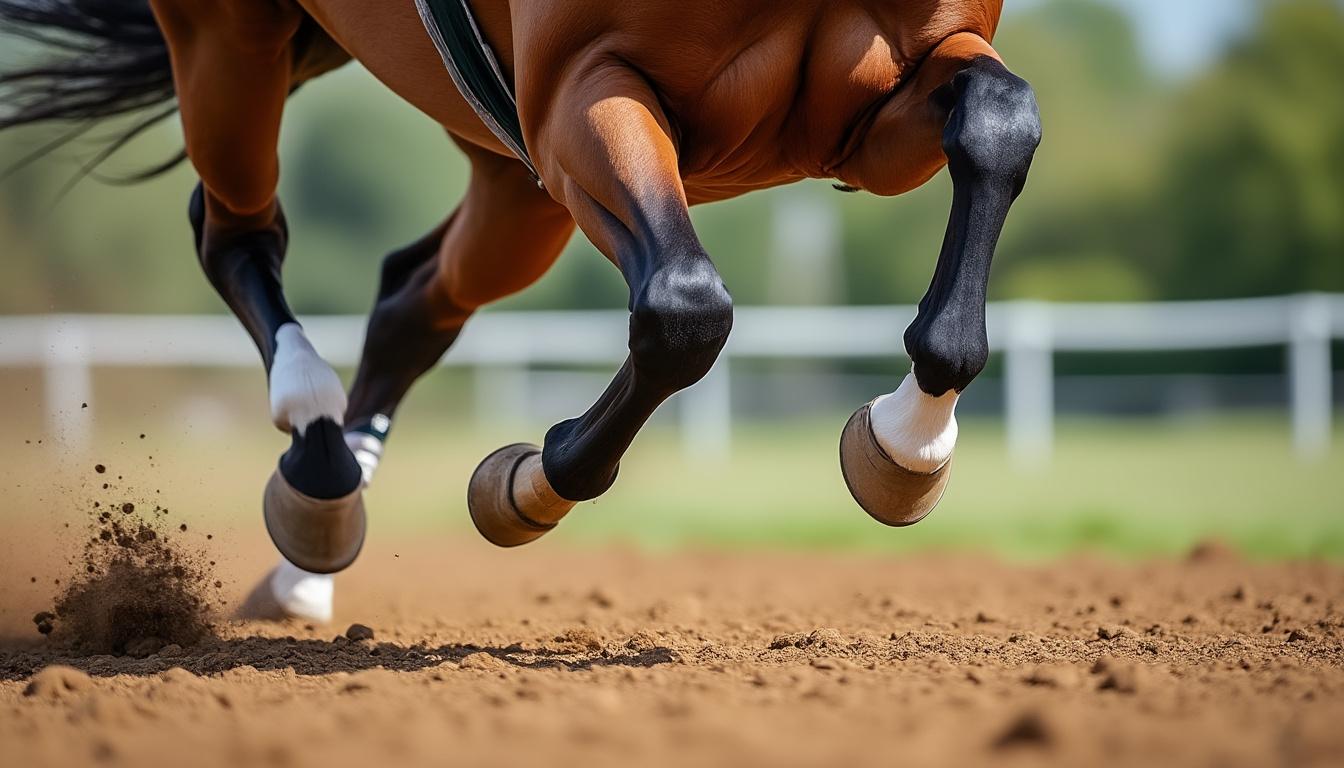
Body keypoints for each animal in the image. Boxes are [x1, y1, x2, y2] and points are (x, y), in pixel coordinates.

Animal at [0, 0, 1040, 623]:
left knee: (411, 296)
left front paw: (909, 442)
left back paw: (313, 546)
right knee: (233, 234)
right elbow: (685, 309)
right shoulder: (585, 84)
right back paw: (315, 455)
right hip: (231, 31)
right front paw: (531, 479)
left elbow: (1000, 120)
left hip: (516, 180)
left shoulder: (877, 105)